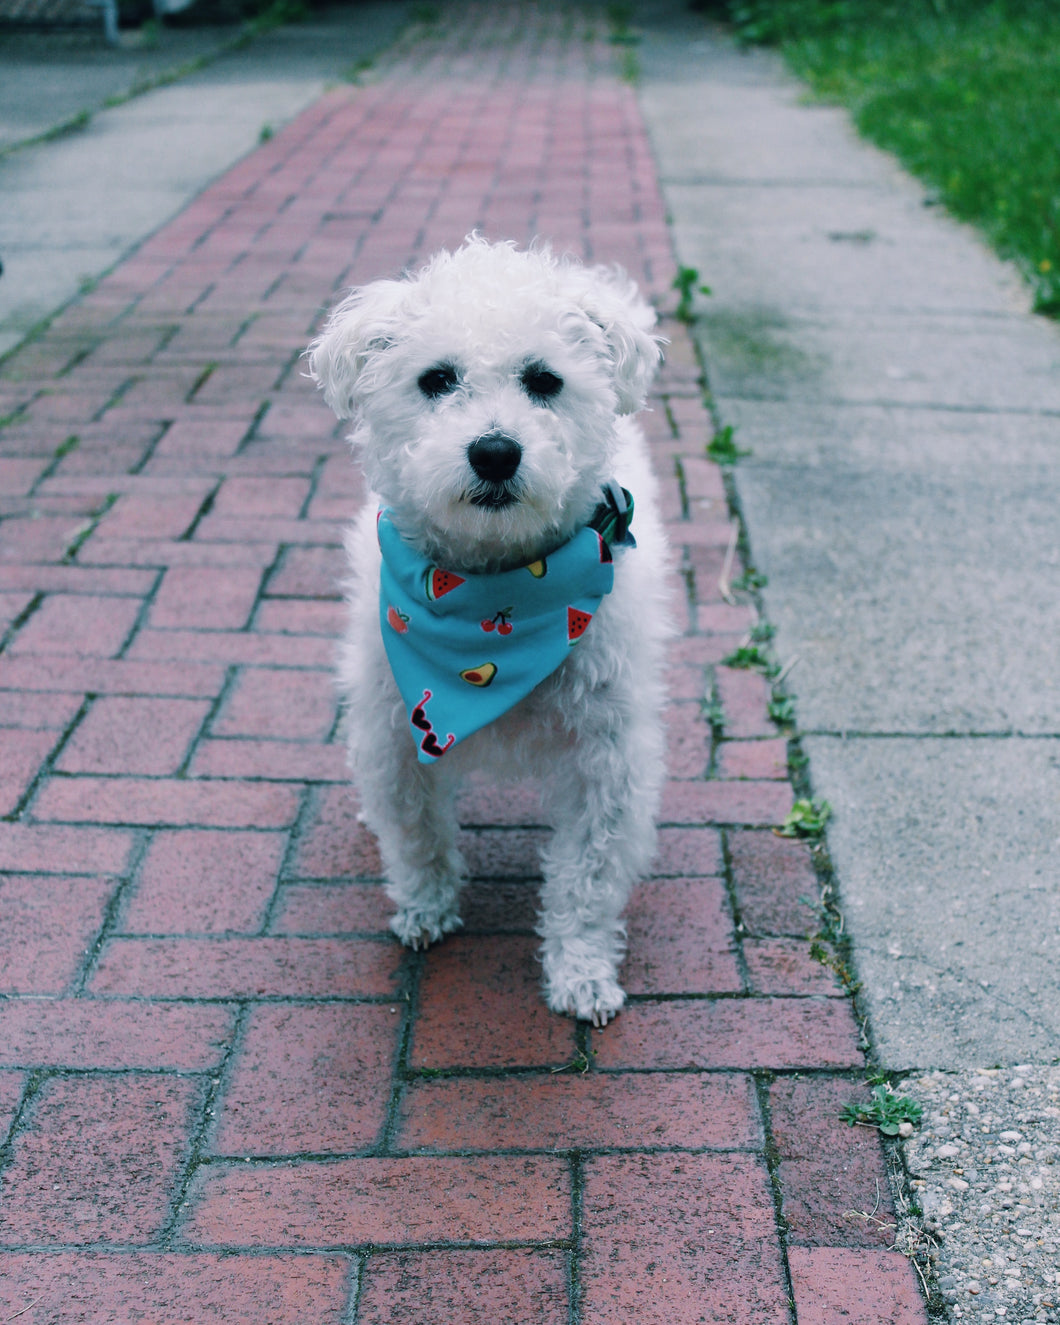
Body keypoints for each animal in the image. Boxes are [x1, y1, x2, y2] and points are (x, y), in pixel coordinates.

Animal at [308, 238, 670, 1022]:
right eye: (436, 379)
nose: (496, 452)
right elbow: (415, 834)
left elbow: (587, 877)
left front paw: (580, 970)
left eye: (545, 380)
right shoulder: (397, 731)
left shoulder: (607, 756)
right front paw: (425, 908)